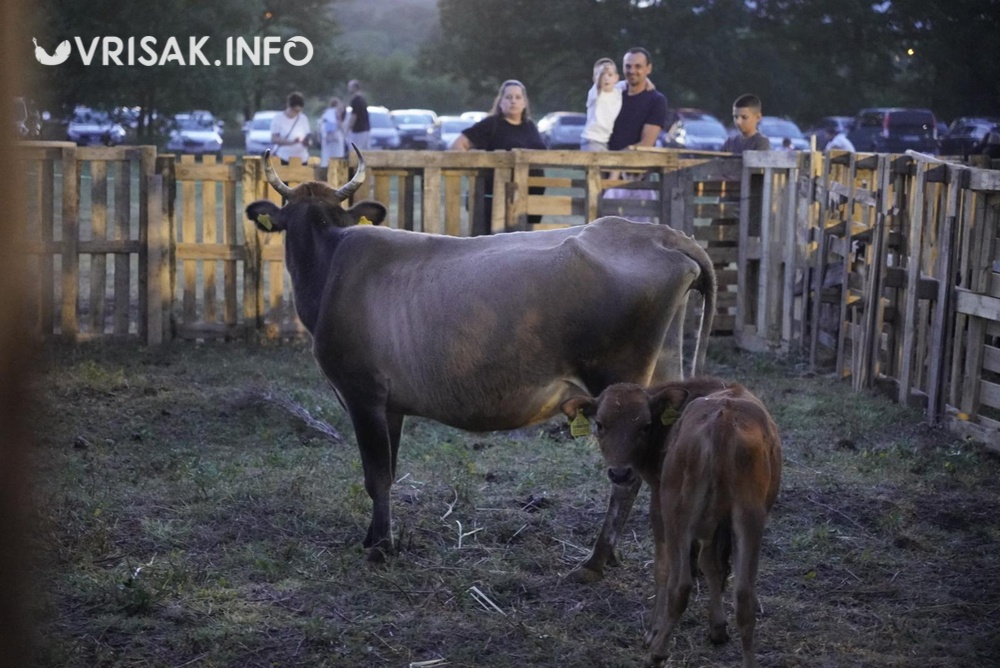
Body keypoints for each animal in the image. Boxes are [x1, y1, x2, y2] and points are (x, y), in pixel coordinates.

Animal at [244, 146, 717, 565]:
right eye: (291, 219)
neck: (331, 264)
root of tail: (658, 233)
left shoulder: (363, 394)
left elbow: (376, 476)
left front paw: (380, 548)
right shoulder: (391, 404)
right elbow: (388, 472)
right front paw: (375, 538)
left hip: (617, 382)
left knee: (627, 477)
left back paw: (598, 559)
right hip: (664, 371)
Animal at [561, 379, 781, 668]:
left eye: (645, 425)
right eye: (600, 423)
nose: (620, 473)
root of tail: (722, 422)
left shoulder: (659, 505)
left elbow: (664, 570)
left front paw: (652, 630)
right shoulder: (712, 527)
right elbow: (712, 566)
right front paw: (717, 628)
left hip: (678, 514)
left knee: (680, 585)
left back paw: (657, 650)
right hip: (749, 519)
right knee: (744, 596)